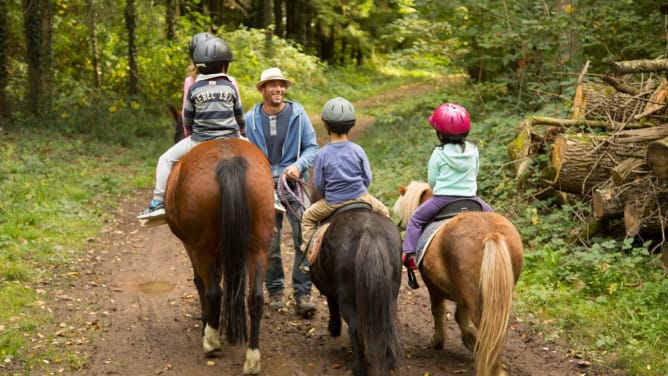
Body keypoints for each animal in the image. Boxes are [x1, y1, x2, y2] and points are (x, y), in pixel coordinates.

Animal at [163, 103, 276, 374]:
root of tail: (228, 161)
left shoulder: (191, 246)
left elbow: (201, 284)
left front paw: (208, 326)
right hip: (258, 245)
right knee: (255, 297)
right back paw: (252, 358)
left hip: (202, 247)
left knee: (214, 290)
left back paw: (211, 342)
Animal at [308, 206, 402, 376]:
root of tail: (370, 231)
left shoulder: (332, 292)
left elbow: (332, 306)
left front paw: (334, 329)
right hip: (390, 296)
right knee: (388, 324)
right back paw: (389, 361)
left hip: (347, 298)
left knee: (355, 328)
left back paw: (359, 368)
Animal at [394, 181, 524, 374]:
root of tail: (491, 234)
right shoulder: (462, 295)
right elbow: (459, 316)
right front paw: (471, 341)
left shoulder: (433, 286)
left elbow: (438, 311)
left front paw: (438, 341)